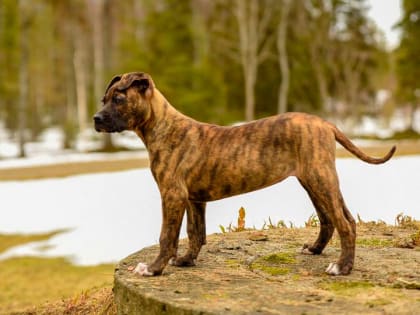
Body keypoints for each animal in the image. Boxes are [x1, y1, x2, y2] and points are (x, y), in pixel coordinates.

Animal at [93, 71, 396, 276]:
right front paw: (187, 260)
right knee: (333, 219)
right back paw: (315, 249)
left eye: (118, 99)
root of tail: (325, 123)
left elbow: (167, 236)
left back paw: (342, 267)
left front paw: (154, 268)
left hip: (319, 178)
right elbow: (195, 232)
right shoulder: (193, 199)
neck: (162, 128)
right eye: (103, 100)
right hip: (313, 181)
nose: (96, 119)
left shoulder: (172, 195)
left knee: (344, 223)